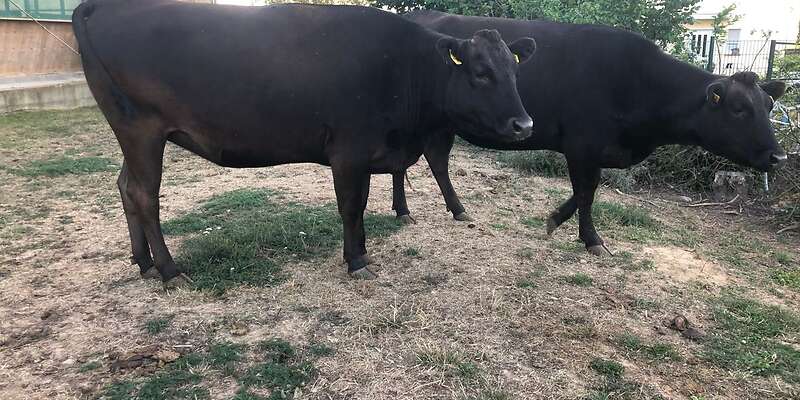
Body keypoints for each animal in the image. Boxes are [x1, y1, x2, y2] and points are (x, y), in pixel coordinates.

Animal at [71, 1, 537, 286]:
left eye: (514, 71)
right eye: (480, 72)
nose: (524, 123)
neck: (402, 66)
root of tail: (102, 6)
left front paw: (363, 251)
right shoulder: (348, 151)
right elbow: (351, 207)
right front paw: (356, 261)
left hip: (131, 135)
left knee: (125, 187)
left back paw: (144, 262)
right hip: (142, 130)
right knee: (143, 195)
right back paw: (169, 270)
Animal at [390, 10, 788, 255]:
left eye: (769, 106)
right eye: (739, 109)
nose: (779, 156)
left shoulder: (594, 150)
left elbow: (584, 191)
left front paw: (554, 220)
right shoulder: (582, 144)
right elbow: (587, 191)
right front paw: (592, 239)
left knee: (433, 161)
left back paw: (448, 209)